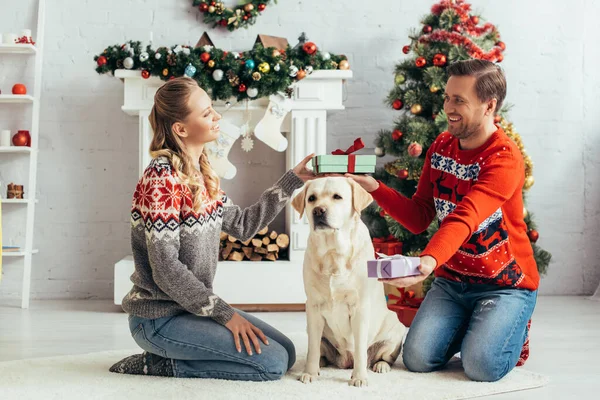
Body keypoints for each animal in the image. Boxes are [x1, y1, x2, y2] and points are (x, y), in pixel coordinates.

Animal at [292, 178, 406, 388]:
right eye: (311, 198)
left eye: (337, 196)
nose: (318, 211)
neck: (332, 253)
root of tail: (345, 361)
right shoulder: (313, 307)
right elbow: (312, 348)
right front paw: (309, 373)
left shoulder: (359, 308)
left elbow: (361, 349)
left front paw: (359, 377)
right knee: (319, 351)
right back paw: (319, 364)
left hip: (396, 327)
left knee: (383, 357)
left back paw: (380, 366)